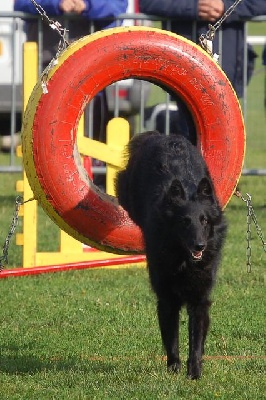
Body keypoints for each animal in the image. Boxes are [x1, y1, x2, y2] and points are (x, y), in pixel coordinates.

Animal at [115, 131, 228, 378]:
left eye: (204, 220)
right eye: (184, 222)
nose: (199, 245)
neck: (184, 261)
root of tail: (162, 135)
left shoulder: (199, 299)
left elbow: (196, 341)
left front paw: (194, 373)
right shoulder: (167, 298)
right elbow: (172, 338)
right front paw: (174, 369)